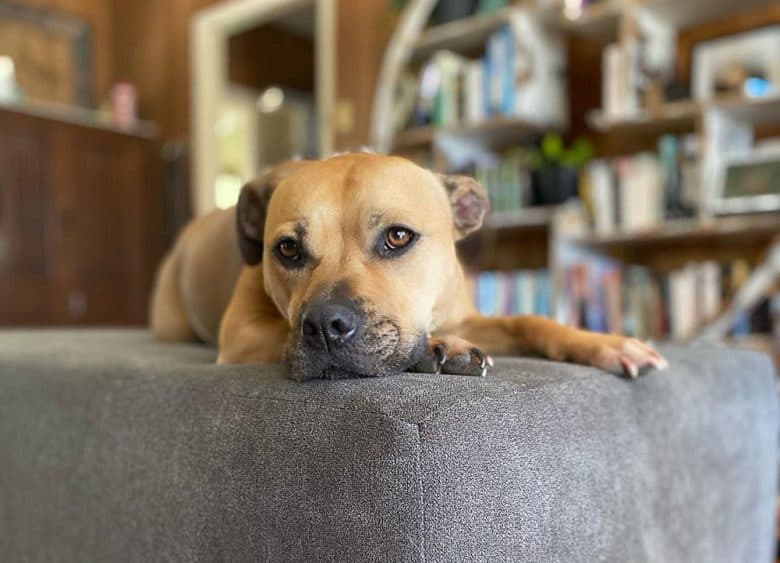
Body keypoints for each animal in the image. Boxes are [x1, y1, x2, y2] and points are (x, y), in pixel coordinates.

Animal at [151, 152, 664, 382]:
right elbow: (277, 331)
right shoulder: (241, 335)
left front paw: (604, 343)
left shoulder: (466, 316)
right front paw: (439, 347)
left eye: (398, 237)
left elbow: (530, 321)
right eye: (288, 250)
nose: (324, 325)